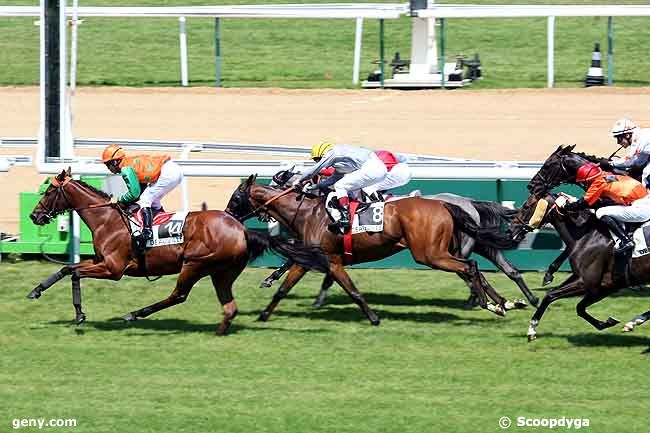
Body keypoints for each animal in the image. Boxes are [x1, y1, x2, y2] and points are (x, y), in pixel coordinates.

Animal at [27, 167, 326, 332]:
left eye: (48, 192)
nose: (34, 216)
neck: (107, 220)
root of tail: (241, 229)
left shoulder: (113, 269)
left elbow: (74, 271)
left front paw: (75, 312)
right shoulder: (102, 263)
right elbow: (69, 269)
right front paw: (41, 293)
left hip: (194, 264)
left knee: (178, 295)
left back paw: (134, 314)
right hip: (222, 272)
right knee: (228, 306)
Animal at [225, 175, 520, 324]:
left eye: (236, 197)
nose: (227, 216)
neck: (308, 212)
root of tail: (445, 204)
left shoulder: (324, 259)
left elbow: (351, 291)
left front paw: (373, 318)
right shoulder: (320, 260)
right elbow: (286, 288)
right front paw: (265, 312)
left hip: (429, 254)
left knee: (469, 267)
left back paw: (488, 303)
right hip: (442, 251)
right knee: (475, 268)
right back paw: (498, 303)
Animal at [508, 145, 650, 340]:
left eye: (527, 206)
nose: (511, 229)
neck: (587, 234)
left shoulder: (590, 283)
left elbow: (555, 296)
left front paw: (532, 328)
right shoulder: (600, 285)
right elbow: (570, 303)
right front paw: (606, 322)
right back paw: (634, 321)